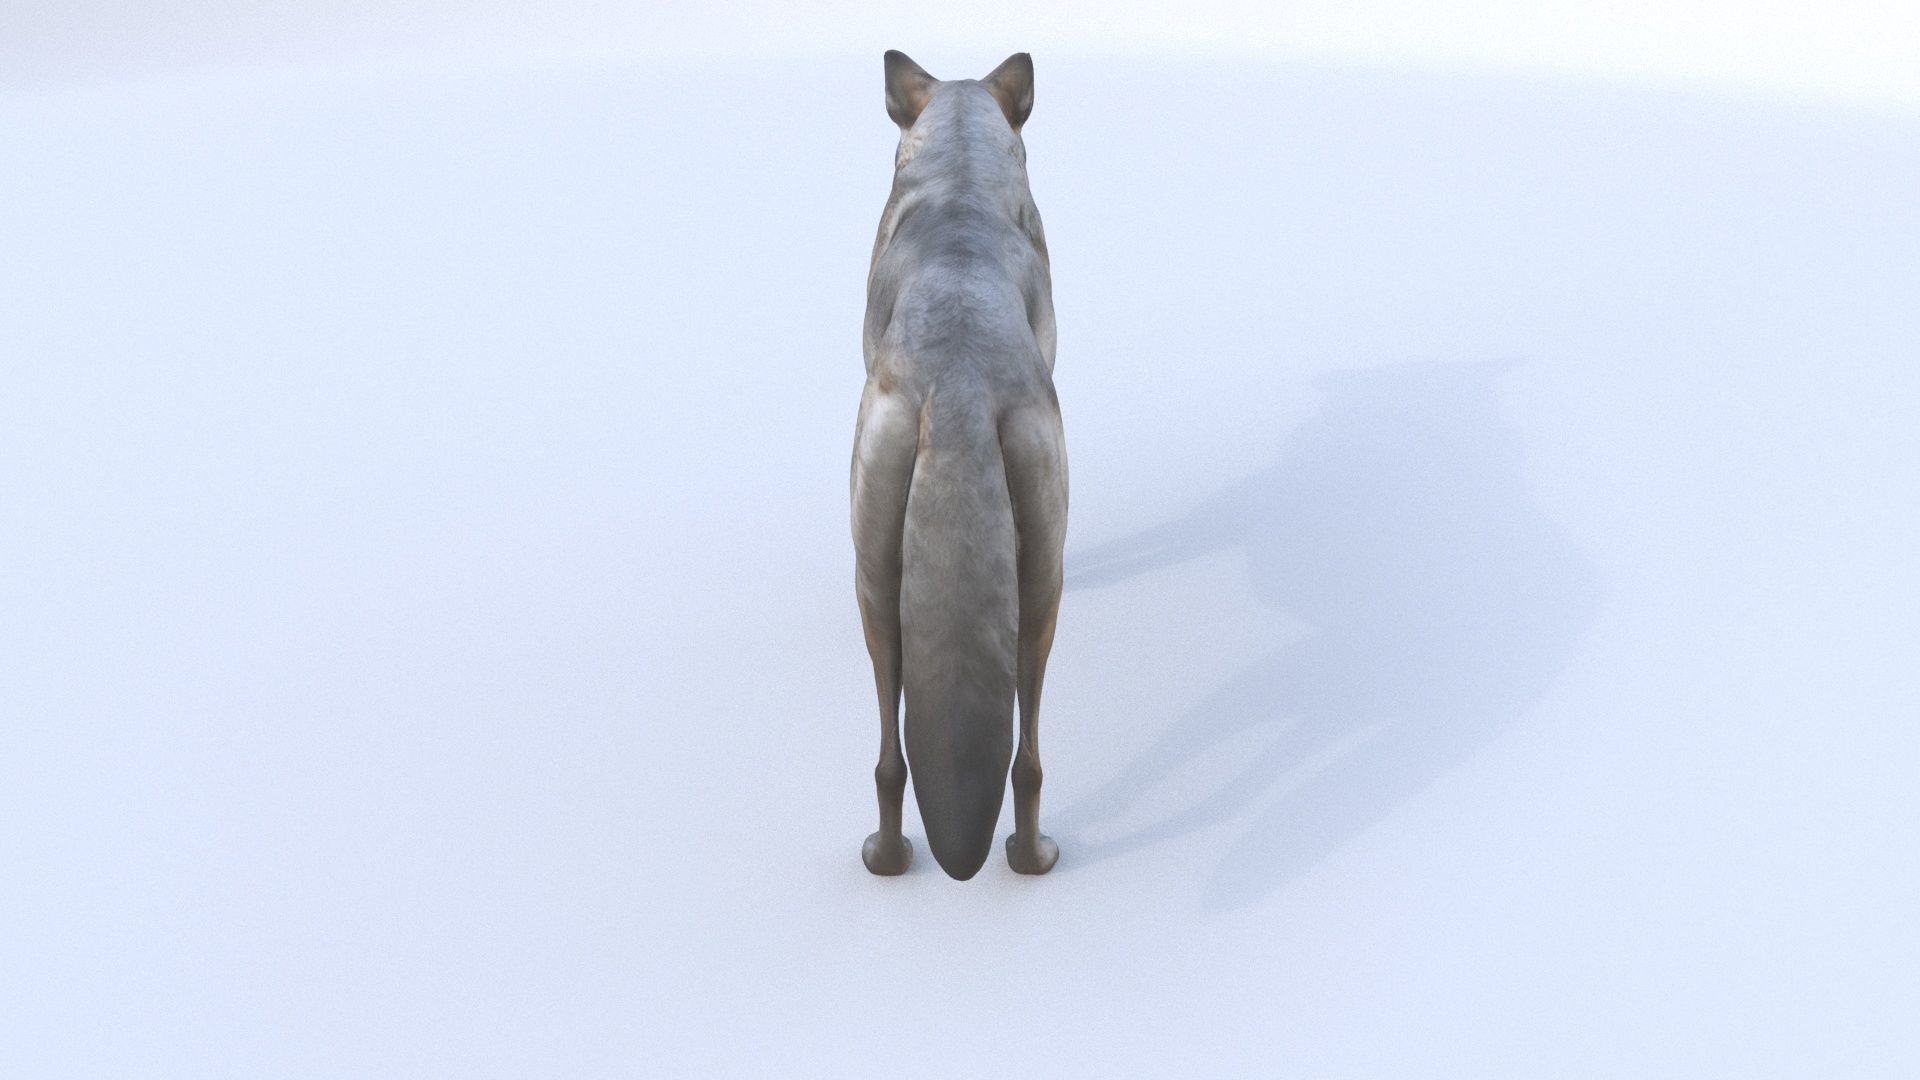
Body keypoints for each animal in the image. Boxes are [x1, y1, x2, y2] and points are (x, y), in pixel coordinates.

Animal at [851, 51, 1067, 880]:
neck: (964, 171)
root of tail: (961, 380)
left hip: (877, 578)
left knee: (898, 758)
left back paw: (893, 860)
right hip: (1036, 582)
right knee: (1021, 758)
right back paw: (1024, 859)